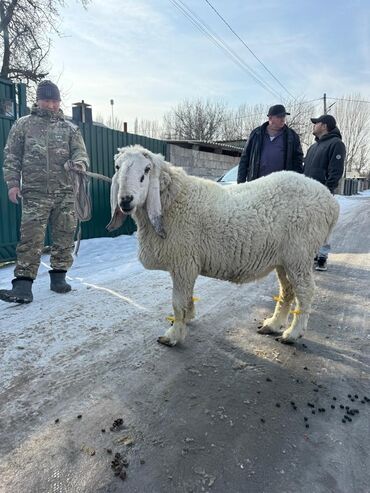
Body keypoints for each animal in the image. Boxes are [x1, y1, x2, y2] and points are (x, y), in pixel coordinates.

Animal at [107, 144, 338, 346]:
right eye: (117, 167)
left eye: (146, 170)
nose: (125, 200)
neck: (172, 201)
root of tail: (330, 201)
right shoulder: (187, 264)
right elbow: (187, 299)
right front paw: (189, 317)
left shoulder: (183, 262)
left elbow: (178, 303)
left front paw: (173, 335)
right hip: (284, 259)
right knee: (288, 291)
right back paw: (273, 325)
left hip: (299, 254)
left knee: (305, 292)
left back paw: (292, 334)